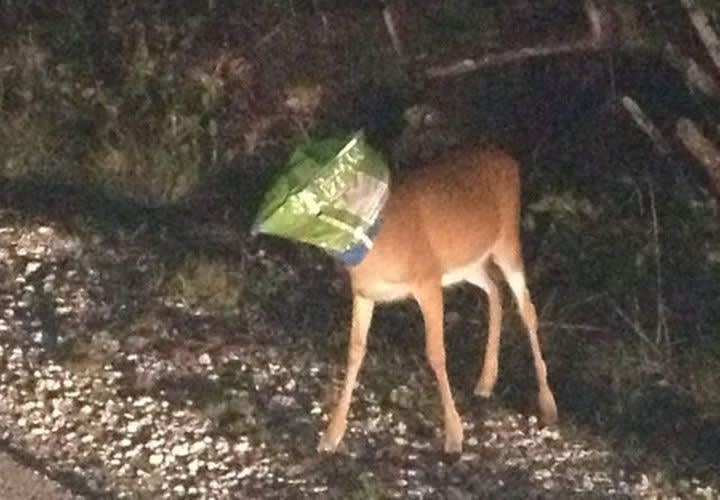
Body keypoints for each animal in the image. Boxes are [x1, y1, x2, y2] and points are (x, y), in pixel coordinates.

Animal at [315, 141, 558, 454]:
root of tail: (509, 160)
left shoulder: (427, 280)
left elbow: (436, 353)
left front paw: (454, 435)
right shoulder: (364, 293)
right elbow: (355, 351)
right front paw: (332, 434)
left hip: (507, 242)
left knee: (527, 309)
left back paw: (548, 404)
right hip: (466, 264)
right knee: (494, 289)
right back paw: (486, 380)